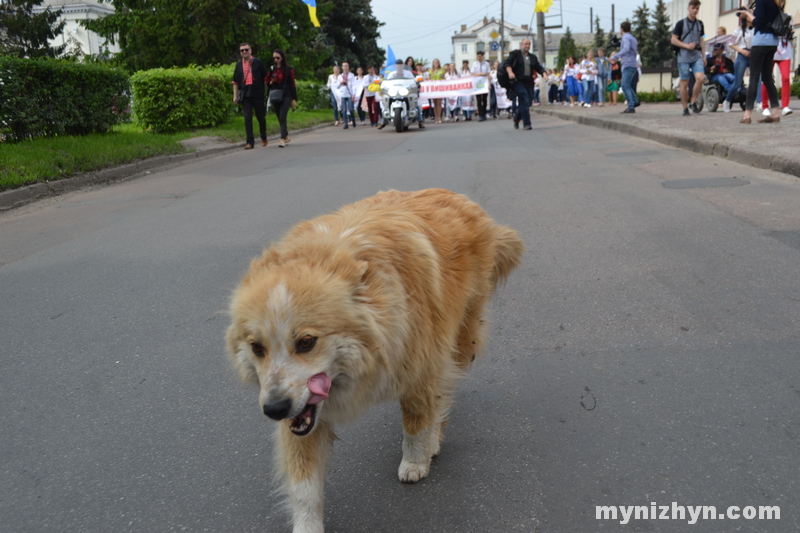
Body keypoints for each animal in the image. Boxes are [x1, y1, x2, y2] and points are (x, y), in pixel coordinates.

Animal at [225, 189, 524, 528]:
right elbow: (304, 486)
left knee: (444, 391)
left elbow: (416, 423)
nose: (274, 409)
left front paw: (415, 461)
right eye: (257, 348)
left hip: (460, 339)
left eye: (306, 342)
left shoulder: (422, 368)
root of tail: (457, 196)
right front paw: (307, 524)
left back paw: (433, 439)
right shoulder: (302, 415)